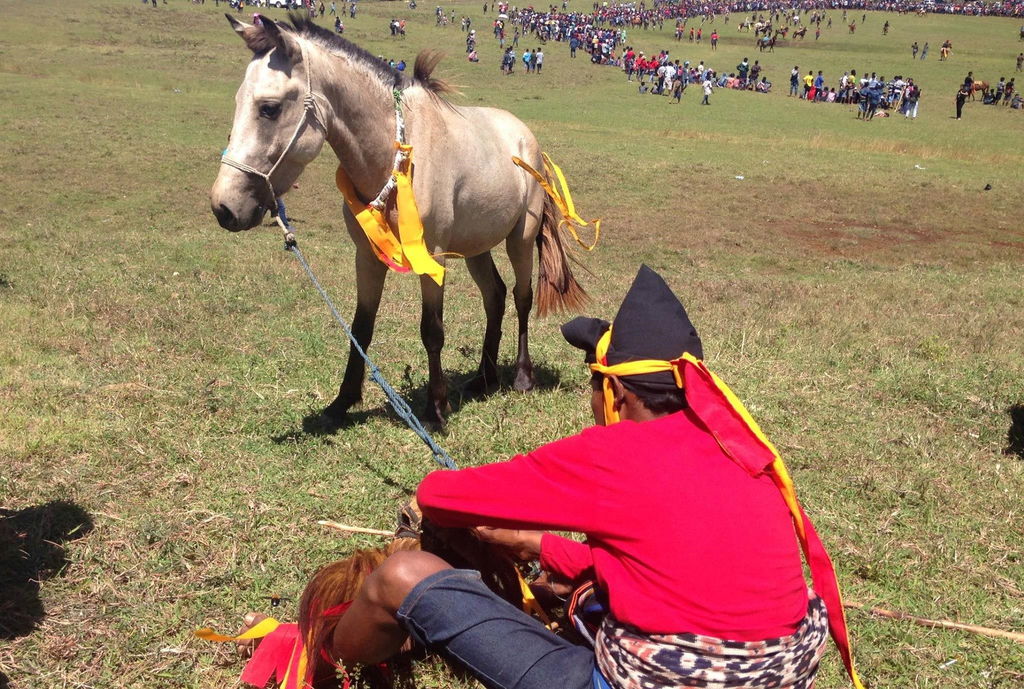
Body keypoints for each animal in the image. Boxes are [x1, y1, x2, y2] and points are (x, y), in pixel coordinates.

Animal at [210, 14, 587, 425]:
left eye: (269, 108)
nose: (223, 206)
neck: (397, 154)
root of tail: (527, 138)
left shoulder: (432, 257)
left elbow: (432, 331)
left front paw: (436, 408)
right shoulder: (366, 257)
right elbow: (361, 327)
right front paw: (342, 402)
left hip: (521, 238)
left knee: (521, 296)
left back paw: (521, 376)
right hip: (476, 246)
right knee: (495, 296)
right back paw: (484, 378)